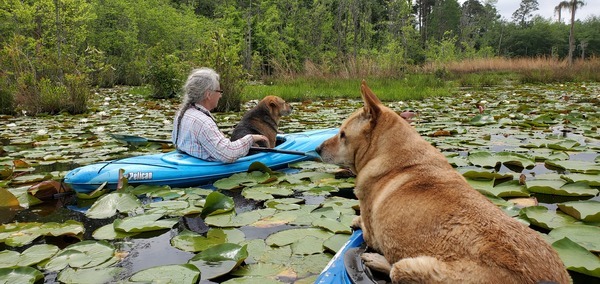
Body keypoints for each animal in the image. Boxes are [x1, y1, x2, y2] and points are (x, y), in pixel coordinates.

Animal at [316, 80, 568, 284]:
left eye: (342, 134)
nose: (317, 149)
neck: (395, 156)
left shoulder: (371, 229)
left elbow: (365, 226)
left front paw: (357, 221)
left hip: (412, 267)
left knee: (395, 269)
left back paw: (376, 260)